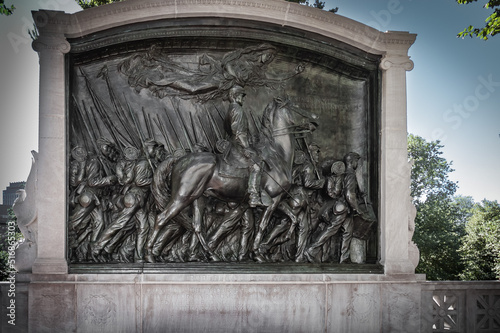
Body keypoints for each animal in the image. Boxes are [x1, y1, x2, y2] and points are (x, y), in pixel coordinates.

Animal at [146, 94, 316, 260]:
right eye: (295, 107)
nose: (314, 119)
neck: (277, 154)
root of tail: (179, 161)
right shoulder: (273, 199)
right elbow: (263, 226)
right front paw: (257, 253)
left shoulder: (278, 199)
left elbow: (293, 217)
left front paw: (280, 240)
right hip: (183, 196)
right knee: (162, 218)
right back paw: (149, 254)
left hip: (198, 198)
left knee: (197, 226)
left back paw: (209, 254)